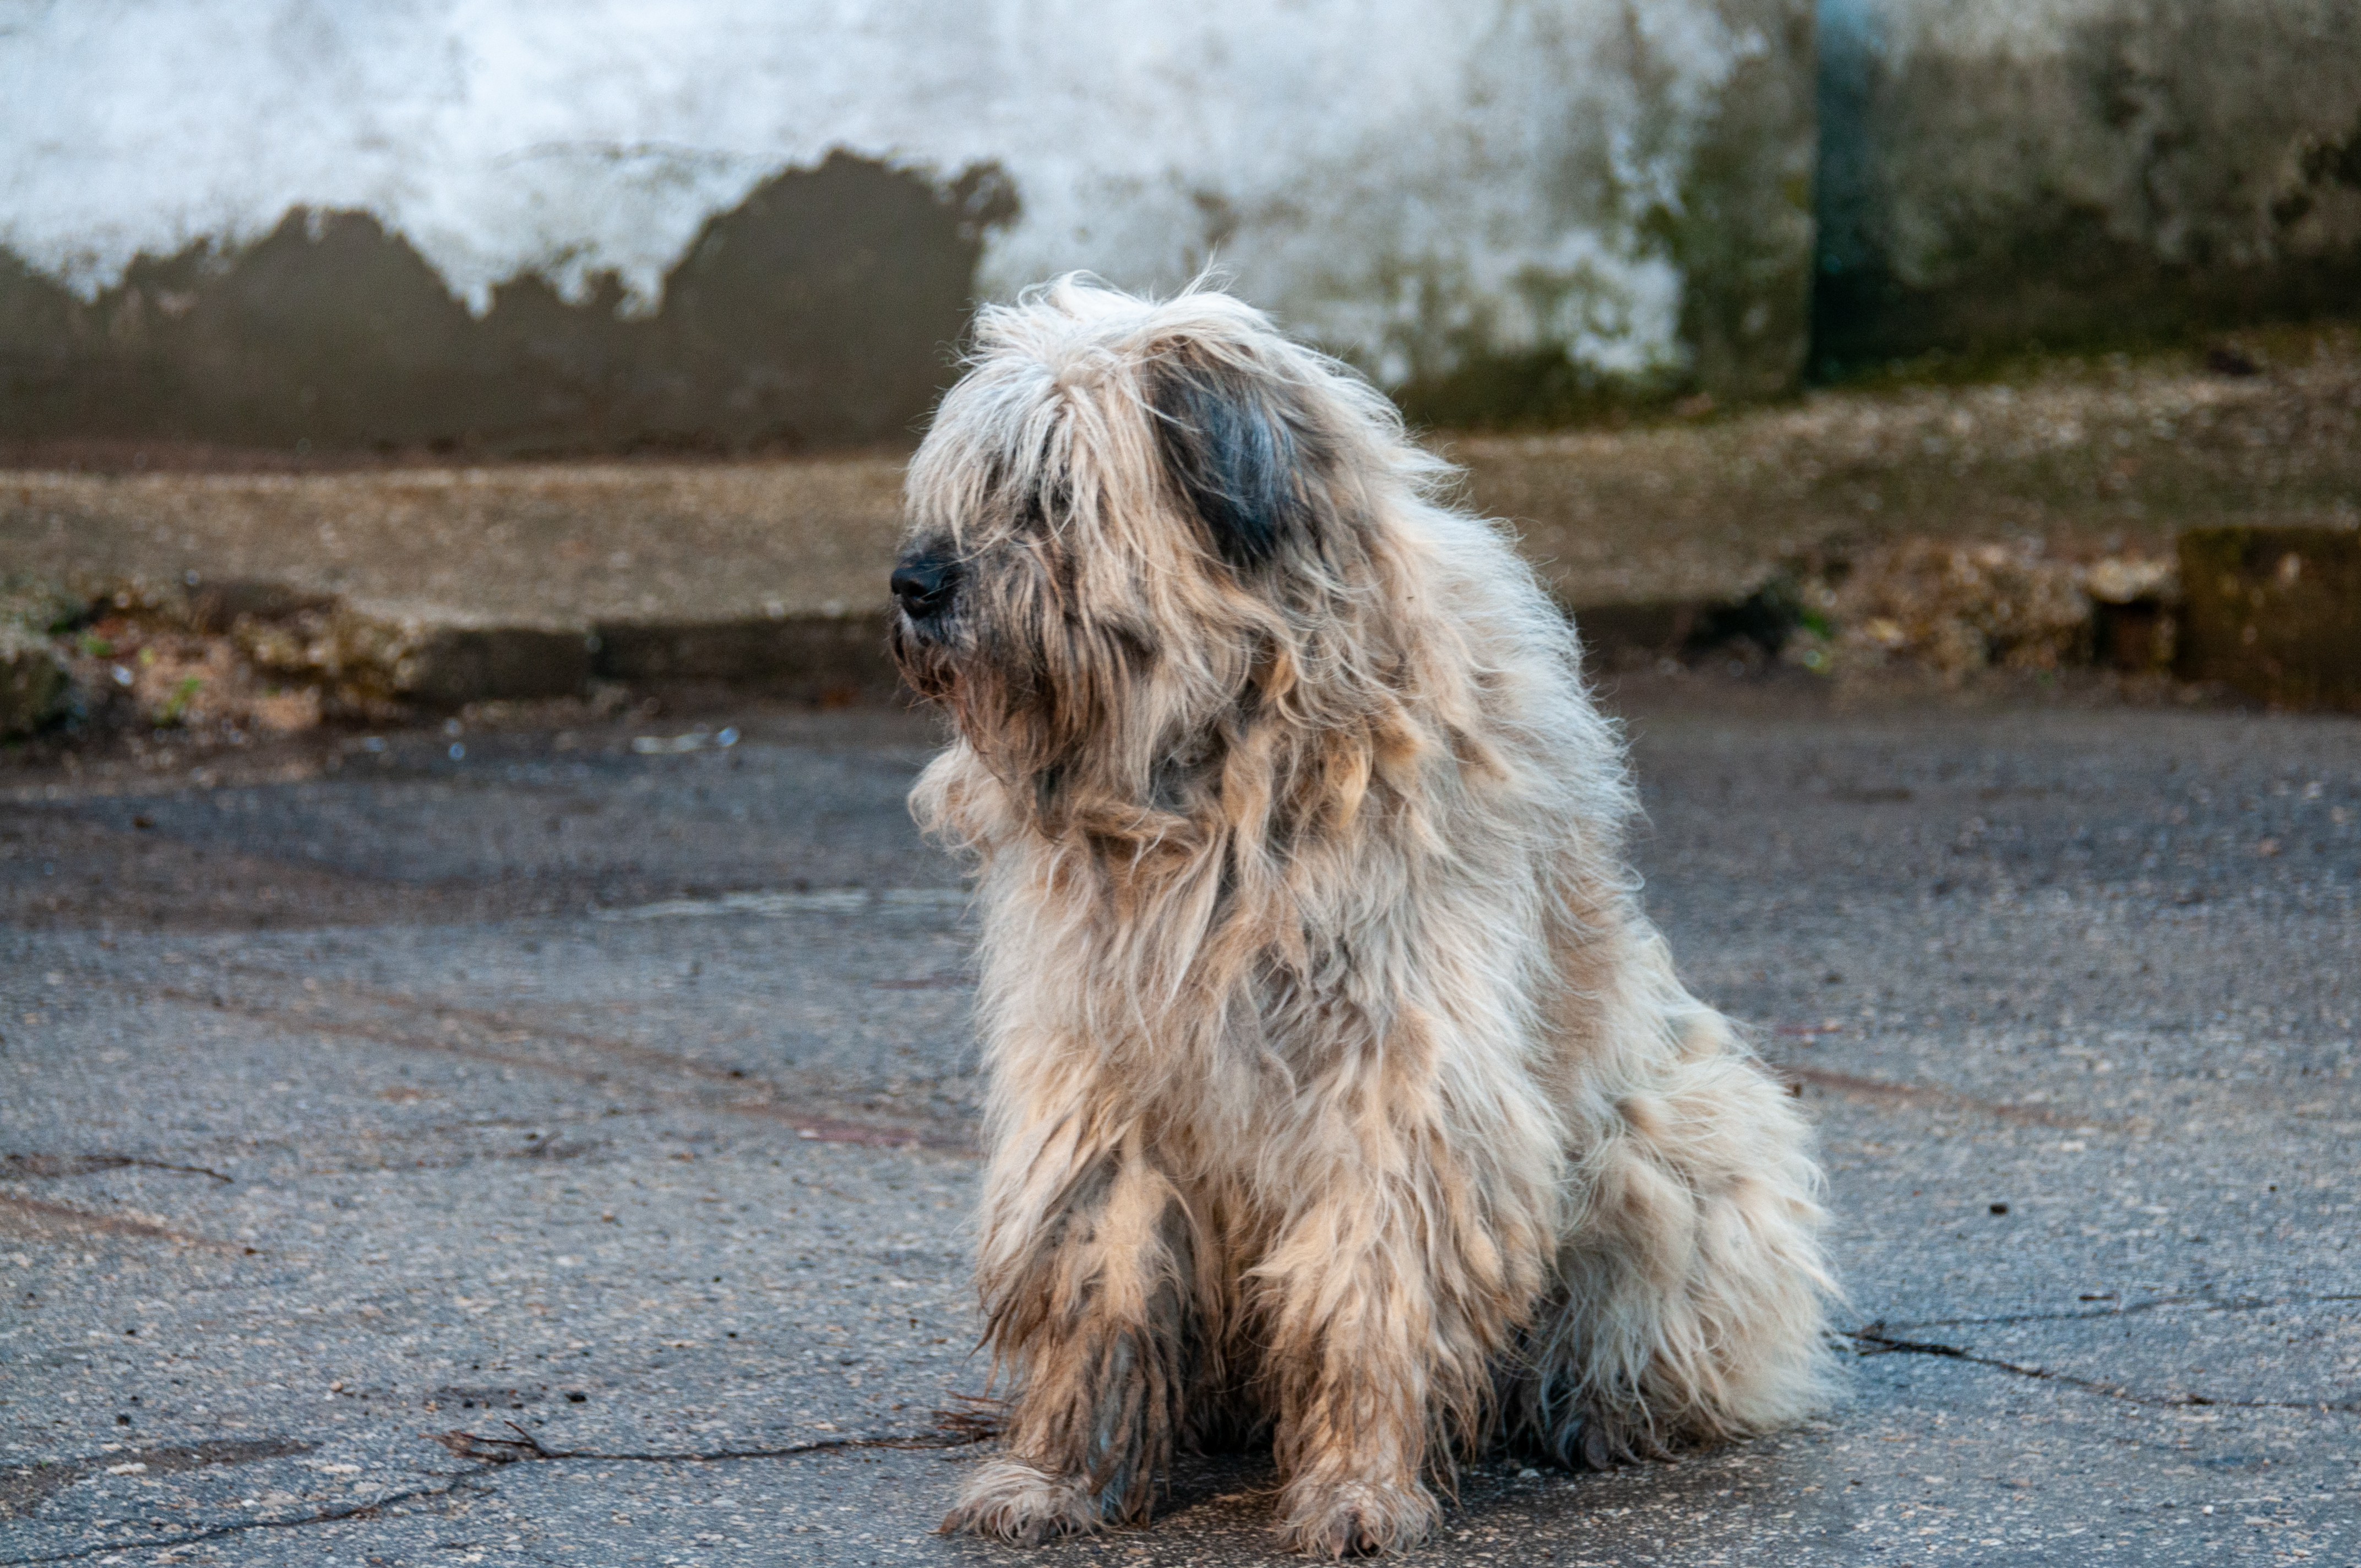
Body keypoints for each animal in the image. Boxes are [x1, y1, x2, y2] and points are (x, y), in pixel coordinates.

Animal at [892, 282, 1832, 1558]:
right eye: (964, 487)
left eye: (1048, 493)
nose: (913, 582)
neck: (1215, 764)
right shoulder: (1100, 1076)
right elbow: (1097, 1273)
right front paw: (1054, 1472)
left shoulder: (1400, 1078)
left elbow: (1371, 1286)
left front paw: (1357, 1484)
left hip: (1680, 1139)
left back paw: (1594, 1409)